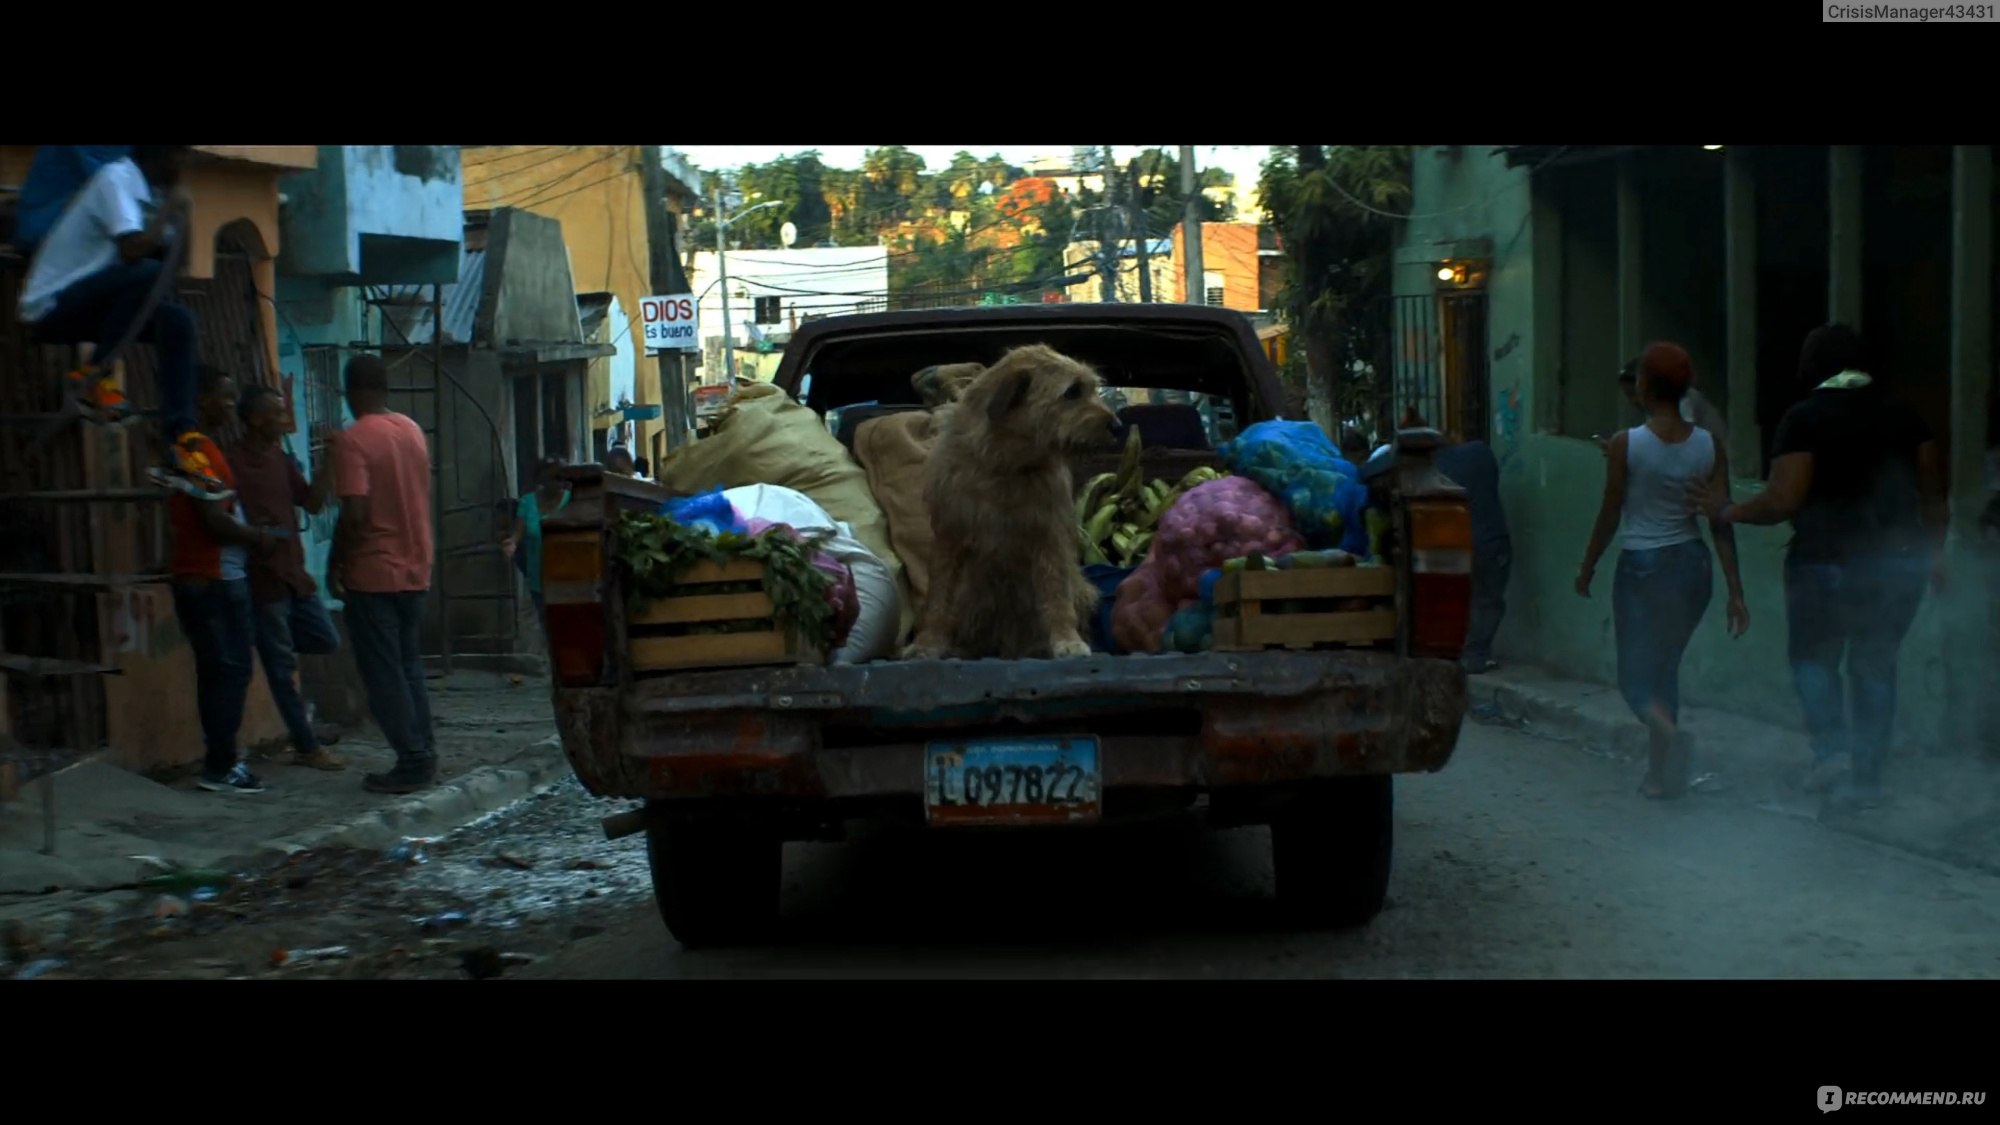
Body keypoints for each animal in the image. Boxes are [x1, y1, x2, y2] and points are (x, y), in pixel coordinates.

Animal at [904, 342, 1120, 656]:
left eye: (1092, 387)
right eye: (1071, 392)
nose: (1118, 425)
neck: (1007, 465)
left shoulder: (1049, 537)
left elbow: (1056, 596)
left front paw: (1067, 640)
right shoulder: (949, 538)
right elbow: (939, 599)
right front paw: (928, 643)